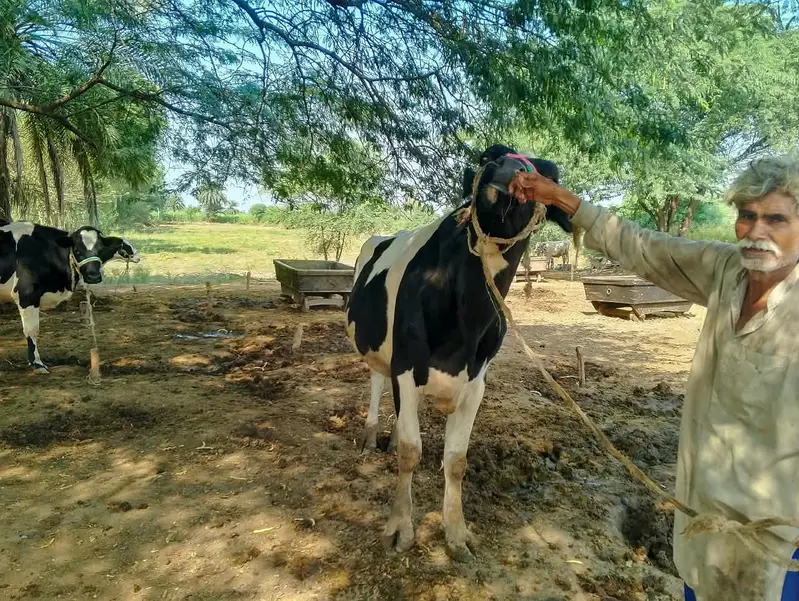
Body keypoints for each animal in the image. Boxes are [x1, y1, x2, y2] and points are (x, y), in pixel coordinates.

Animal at [0, 221, 139, 373]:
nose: (93, 276)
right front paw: (37, 364)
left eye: (101, 250)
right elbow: (32, 330)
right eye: (77, 251)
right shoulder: (27, 295)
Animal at [345, 145, 572, 561]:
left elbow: (456, 461)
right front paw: (400, 526)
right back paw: (370, 436)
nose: (508, 170)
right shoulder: (406, 368)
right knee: (376, 382)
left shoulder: (476, 382)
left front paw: (456, 531)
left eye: (549, 177)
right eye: (491, 157)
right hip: (378, 352)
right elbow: (410, 451)